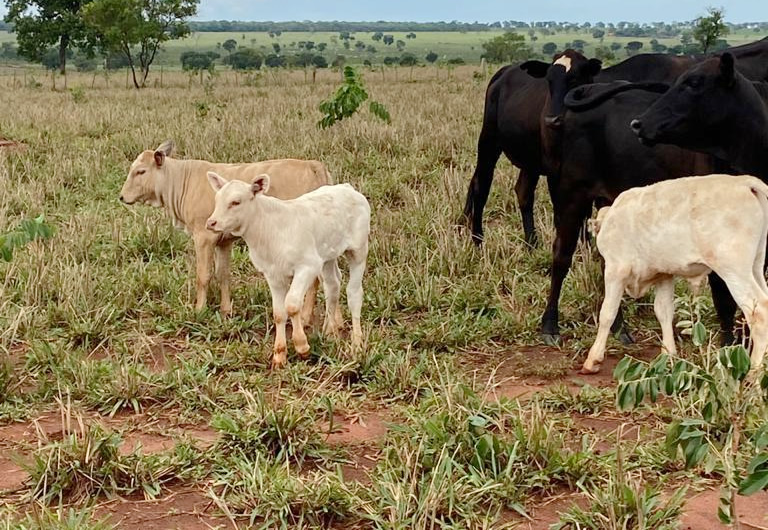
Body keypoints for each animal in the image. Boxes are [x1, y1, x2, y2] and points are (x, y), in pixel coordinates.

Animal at [119, 138, 330, 318]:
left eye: (140, 171)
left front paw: (199, 310)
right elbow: (223, 274)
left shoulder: (204, 237)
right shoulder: (223, 241)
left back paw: (305, 317)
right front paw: (226, 310)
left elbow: (203, 275)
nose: (121, 196)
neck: (180, 180)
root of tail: (312, 165)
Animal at [206, 170, 370, 368]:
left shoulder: (307, 265)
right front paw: (279, 355)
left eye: (236, 202)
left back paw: (357, 344)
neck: (268, 229)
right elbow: (278, 313)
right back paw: (330, 333)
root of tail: (347, 188)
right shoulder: (273, 274)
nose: (211, 223)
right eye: (217, 199)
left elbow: (291, 305)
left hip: (359, 249)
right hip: (327, 254)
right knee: (332, 285)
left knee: (354, 293)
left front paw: (302, 346)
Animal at [584, 173, 768, 372]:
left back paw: (753, 371)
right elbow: (663, 311)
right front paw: (668, 354)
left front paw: (593, 360)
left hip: (734, 271)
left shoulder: (616, 271)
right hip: (755, 266)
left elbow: (607, 313)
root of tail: (745, 182)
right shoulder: (664, 274)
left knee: (759, 312)